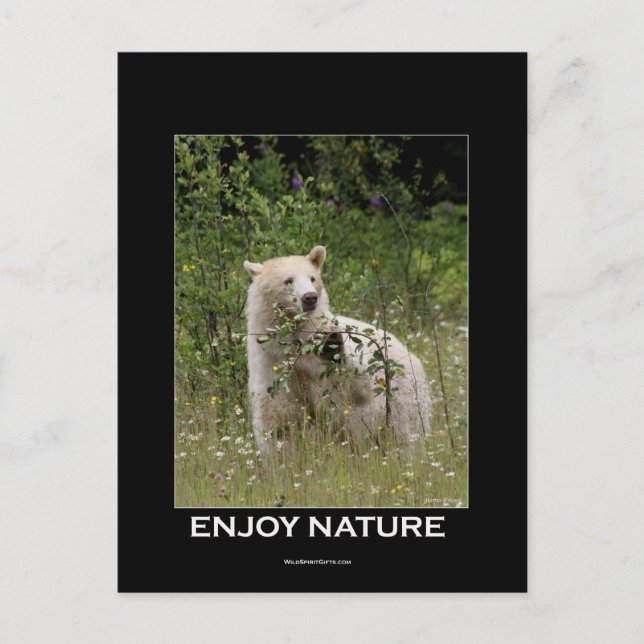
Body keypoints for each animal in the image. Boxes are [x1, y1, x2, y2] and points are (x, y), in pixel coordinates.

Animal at [243, 245, 430, 455]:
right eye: (288, 280)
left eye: (312, 278)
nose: (310, 297)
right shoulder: (271, 366)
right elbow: (280, 423)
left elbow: (354, 390)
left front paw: (330, 348)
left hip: (404, 399)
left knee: (407, 436)